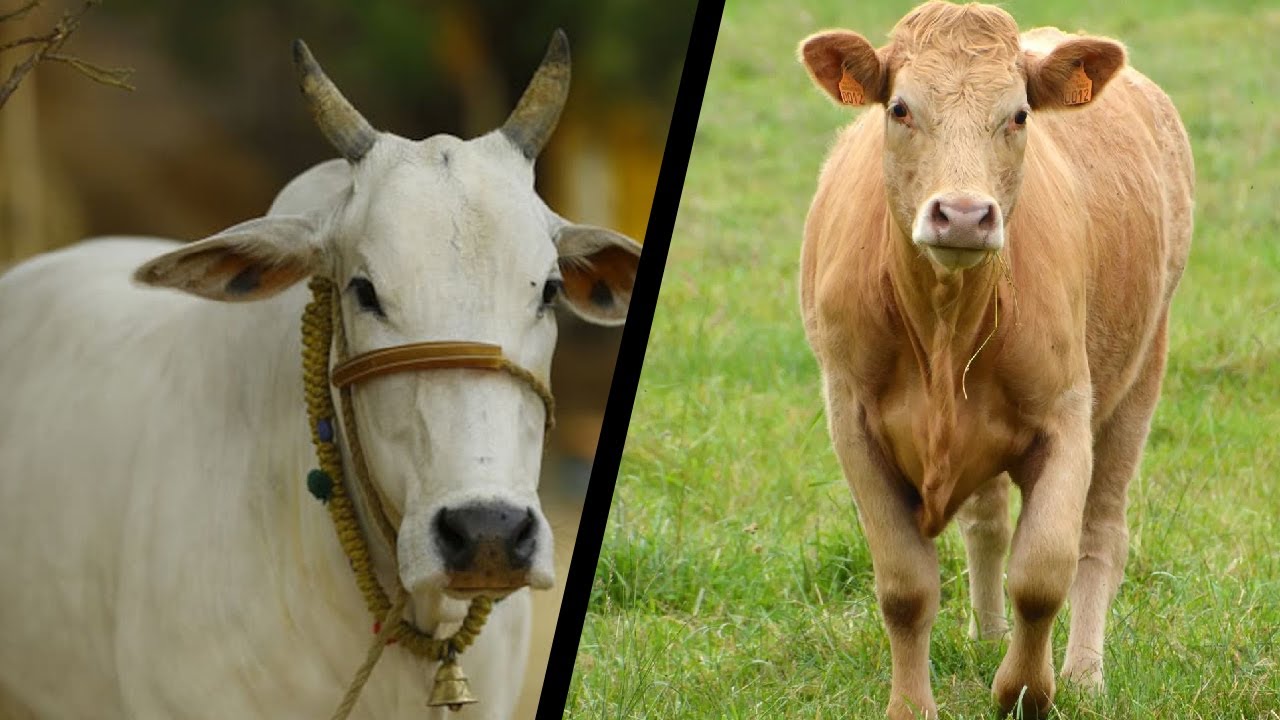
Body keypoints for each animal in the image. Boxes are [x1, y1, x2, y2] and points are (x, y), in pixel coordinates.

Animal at [797, 2, 1192, 718]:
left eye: (1020, 115)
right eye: (899, 108)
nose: (961, 215)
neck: (943, 322)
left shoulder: (1066, 413)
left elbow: (1041, 573)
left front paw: (1026, 690)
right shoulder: (852, 419)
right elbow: (906, 588)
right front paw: (911, 706)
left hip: (1140, 374)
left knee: (1101, 533)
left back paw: (1085, 672)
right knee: (987, 524)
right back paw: (986, 636)